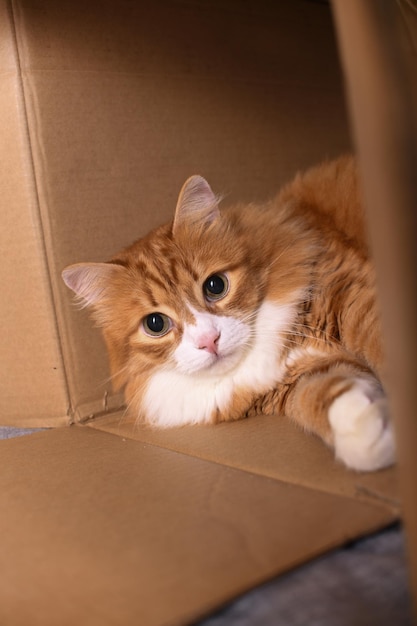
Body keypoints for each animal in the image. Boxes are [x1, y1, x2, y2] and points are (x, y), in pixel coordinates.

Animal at [61, 155, 394, 468]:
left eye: (215, 285)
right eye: (155, 323)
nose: (209, 340)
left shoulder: (352, 296)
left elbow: (382, 346)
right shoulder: (299, 379)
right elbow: (320, 396)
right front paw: (366, 434)